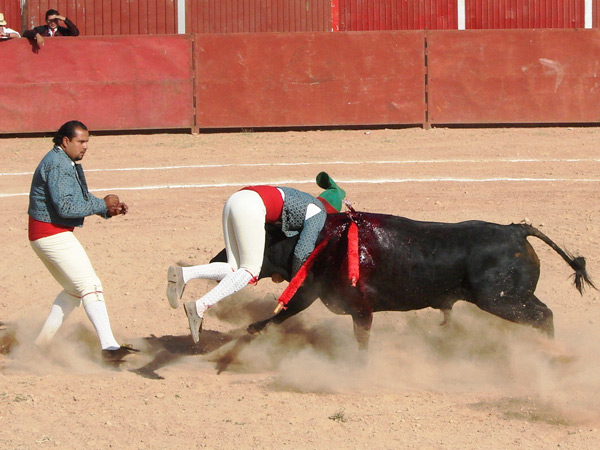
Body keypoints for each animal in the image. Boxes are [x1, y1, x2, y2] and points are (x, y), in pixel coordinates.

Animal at [212, 212, 596, 352]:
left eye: (245, 243)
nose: (217, 261)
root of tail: (516, 230)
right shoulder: (316, 293)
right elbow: (285, 312)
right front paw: (251, 331)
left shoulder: (355, 306)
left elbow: (360, 338)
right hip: (508, 299)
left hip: (501, 299)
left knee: (544, 315)